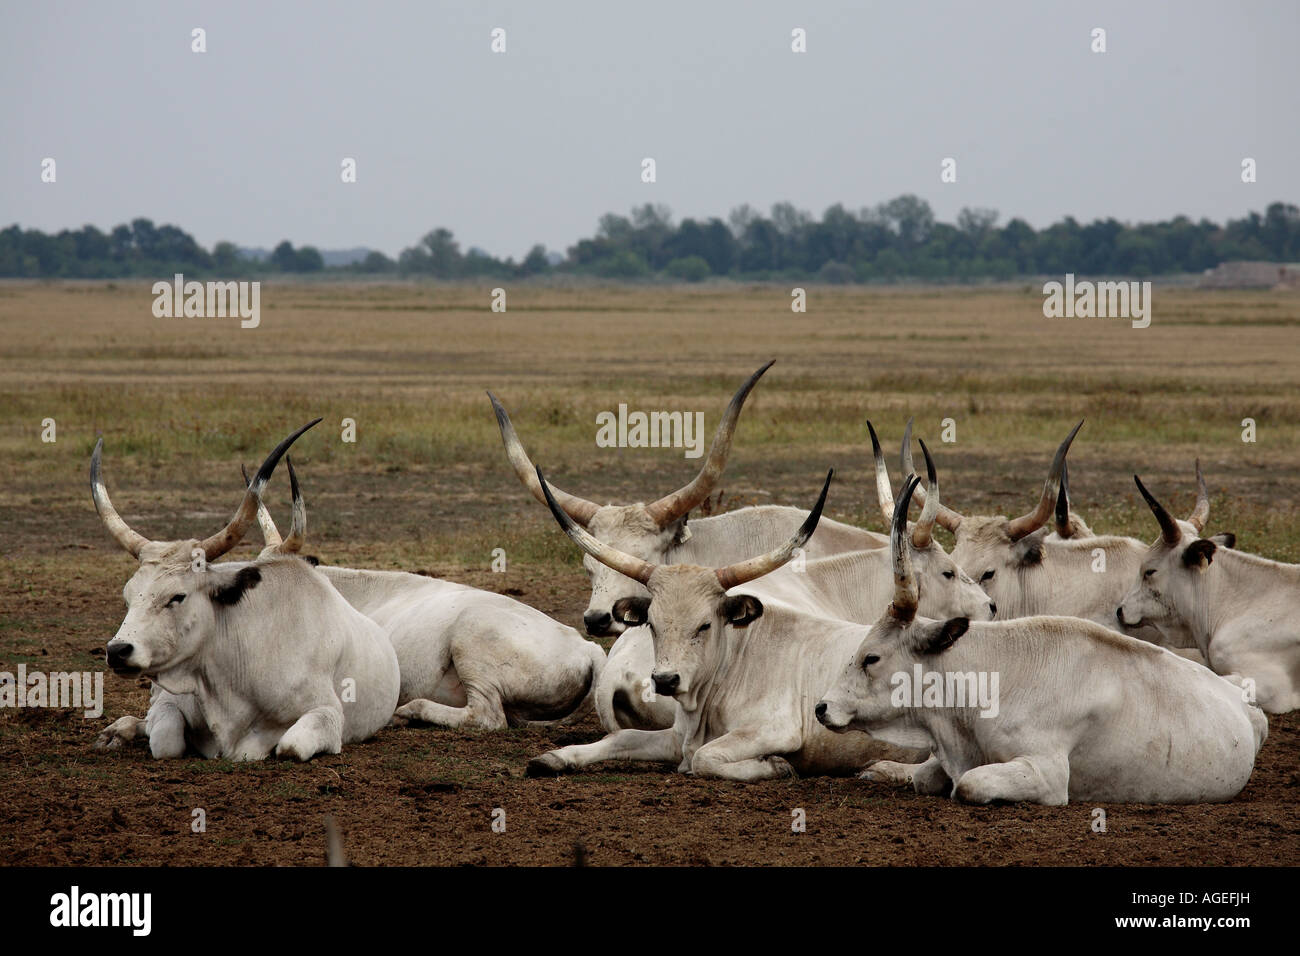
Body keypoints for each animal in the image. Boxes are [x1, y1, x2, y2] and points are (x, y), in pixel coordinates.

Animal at [91, 421, 401, 761]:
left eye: (177, 596)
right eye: (128, 595)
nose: (117, 651)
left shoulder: (327, 714)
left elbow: (290, 746)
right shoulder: (168, 701)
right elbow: (165, 742)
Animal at [524, 466, 935, 780]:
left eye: (705, 625)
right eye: (651, 624)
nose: (665, 680)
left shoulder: (774, 728)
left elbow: (705, 759)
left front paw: (776, 766)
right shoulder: (677, 736)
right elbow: (620, 739)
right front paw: (554, 758)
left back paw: (885, 769)